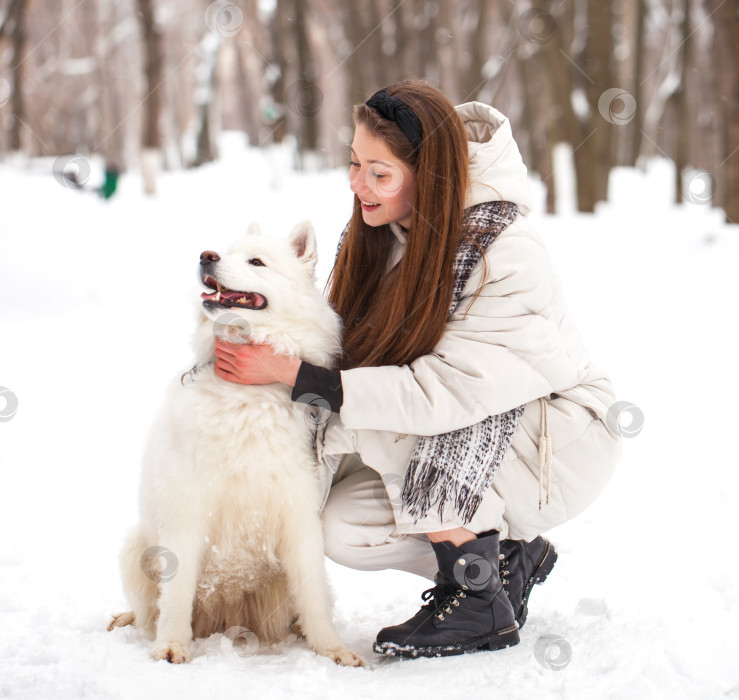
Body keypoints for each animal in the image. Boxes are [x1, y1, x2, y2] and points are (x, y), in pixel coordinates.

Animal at [108, 223, 362, 668]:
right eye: (225, 252)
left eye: (256, 262)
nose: (206, 256)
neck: (248, 396)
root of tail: (225, 619)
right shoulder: (187, 513)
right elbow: (176, 595)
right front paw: (172, 645)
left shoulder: (299, 515)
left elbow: (313, 594)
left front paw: (332, 650)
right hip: (135, 550)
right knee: (148, 610)